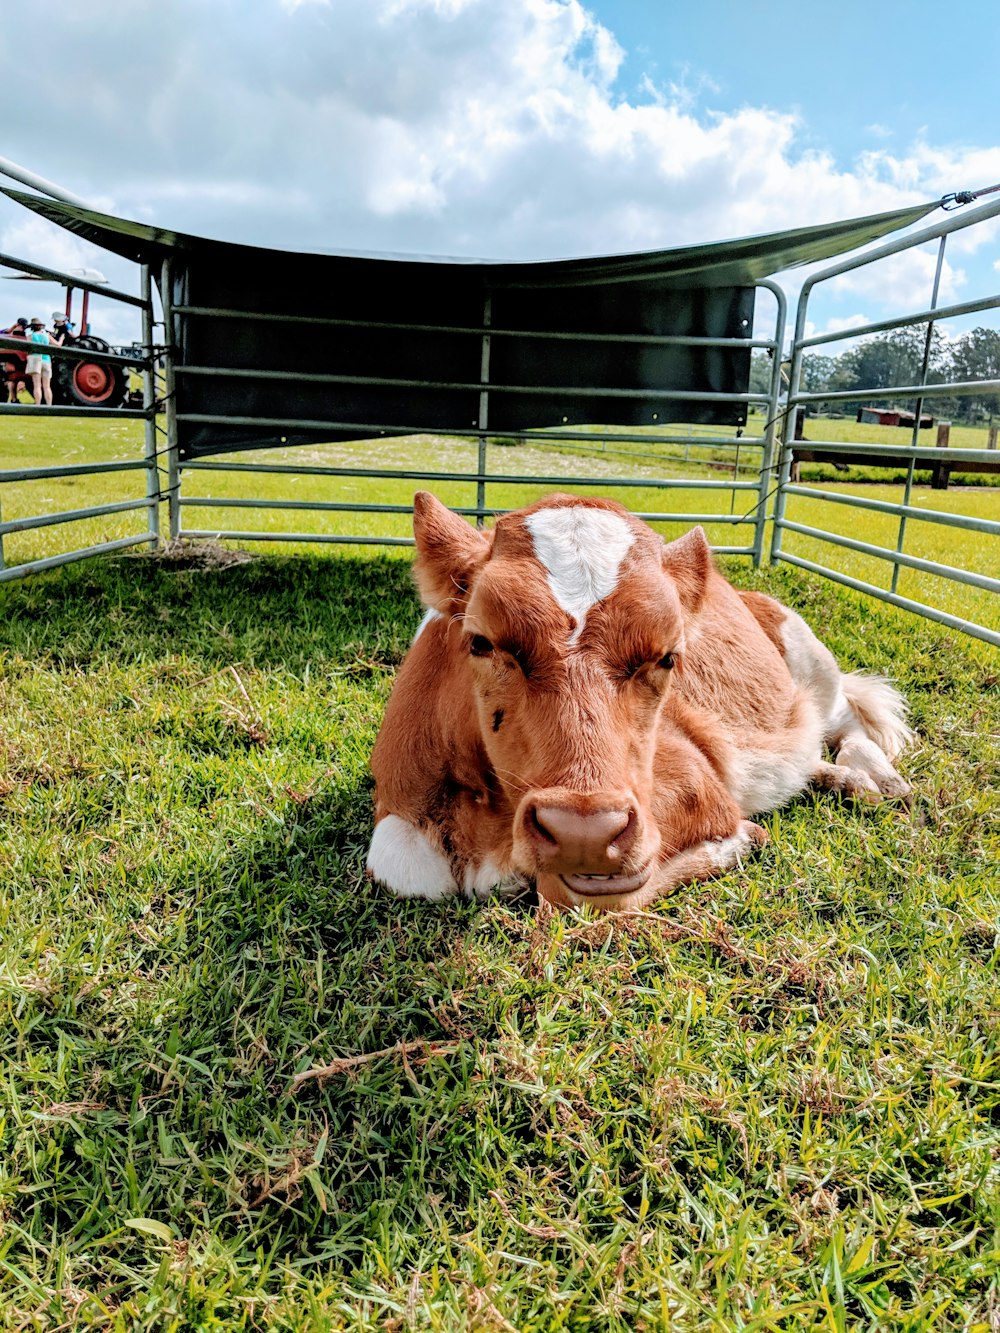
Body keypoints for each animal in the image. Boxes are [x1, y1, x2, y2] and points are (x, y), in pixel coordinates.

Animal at [370, 495, 917, 911]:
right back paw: (839, 779)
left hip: (809, 654)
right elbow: (399, 866)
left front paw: (739, 841)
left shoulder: (694, 784)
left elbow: (579, 891)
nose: (583, 832)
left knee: (844, 719)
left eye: (669, 656)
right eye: (481, 642)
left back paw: (878, 778)